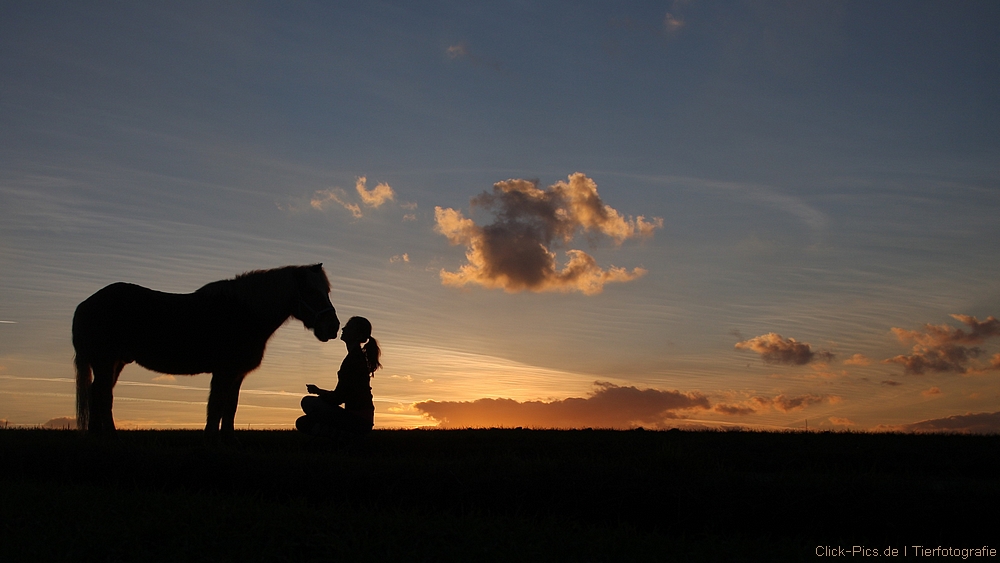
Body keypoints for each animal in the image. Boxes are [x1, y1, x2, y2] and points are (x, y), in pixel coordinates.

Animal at [73, 264, 340, 436]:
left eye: (326, 292)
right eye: (311, 292)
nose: (333, 327)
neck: (243, 313)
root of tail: (86, 304)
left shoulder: (237, 374)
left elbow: (230, 408)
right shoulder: (223, 372)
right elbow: (216, 406)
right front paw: (211, 436)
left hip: (114, 362)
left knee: (97, 391)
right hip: (105, 361)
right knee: (103, 394)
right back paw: (109, 432)